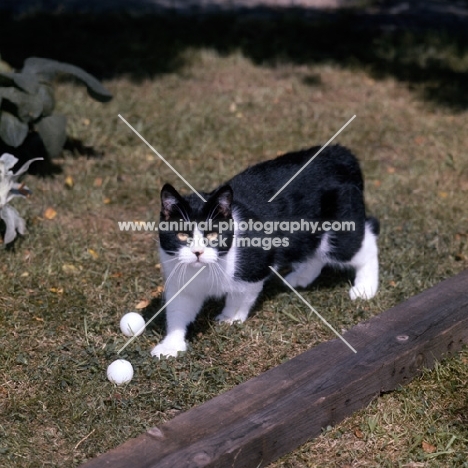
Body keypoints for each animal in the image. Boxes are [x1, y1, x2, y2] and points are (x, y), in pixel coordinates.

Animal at [152, 145, 378, 358]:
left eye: (213, 234)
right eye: (182, 235)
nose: (197, 252)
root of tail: (339, 153)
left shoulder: (254, 269)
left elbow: (240, 295)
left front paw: (230, 318)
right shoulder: (179, 278)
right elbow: (178, 310)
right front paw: (170, 346)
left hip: (341, 225)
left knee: (363, 242)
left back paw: (365, 287)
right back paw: (301, 277)